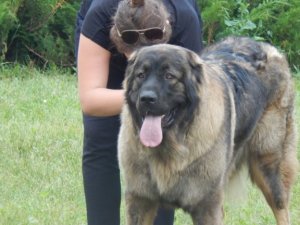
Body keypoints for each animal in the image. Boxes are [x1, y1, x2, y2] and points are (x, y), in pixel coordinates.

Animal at [117, 37, 298, 225]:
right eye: (140, 75)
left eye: (169, 76)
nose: (146, 99)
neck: (173, 146)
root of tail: (268, 48)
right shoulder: (140, 200)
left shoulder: (206, 205)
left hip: (268, 168)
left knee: (282, 210)